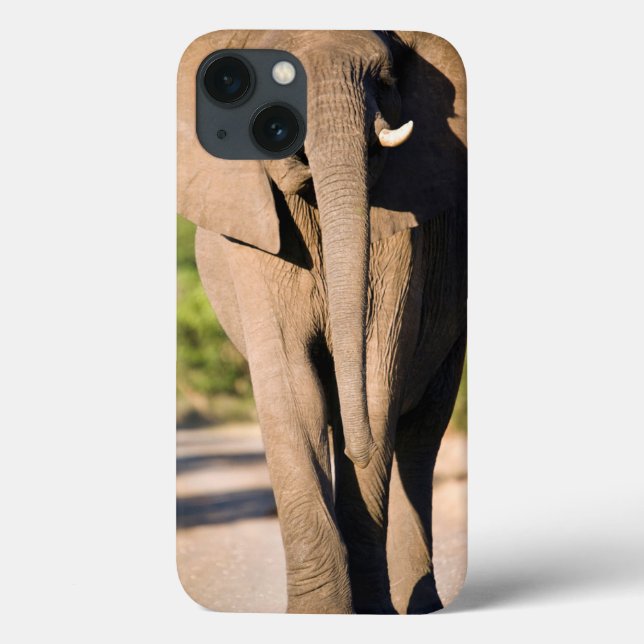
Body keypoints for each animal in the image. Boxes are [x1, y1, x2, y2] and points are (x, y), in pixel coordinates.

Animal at [178, 30, 467, 614]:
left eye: (385, 79)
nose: (360, 448)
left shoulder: (404, 232)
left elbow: (380, 373)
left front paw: (371, 612)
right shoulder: (252, 236)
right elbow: (292, 387)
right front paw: (323, 614)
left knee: (420, 437)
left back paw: (419, 606)